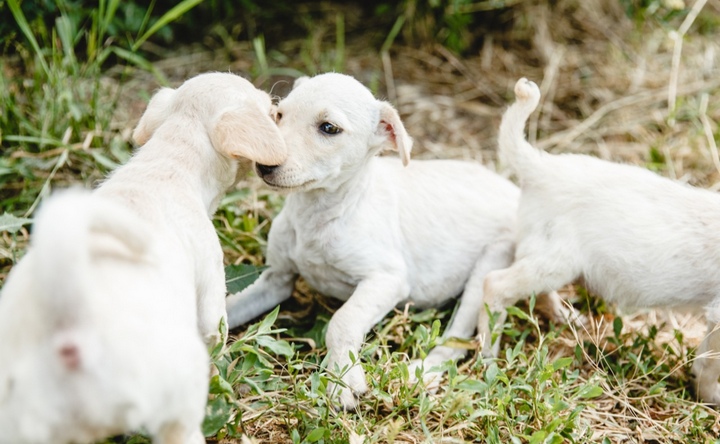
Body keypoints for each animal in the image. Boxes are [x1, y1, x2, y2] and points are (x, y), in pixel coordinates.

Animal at [225, 72, 540, 409]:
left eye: (328, 128)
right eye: (279, 115)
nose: (263, 165)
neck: (320, 214)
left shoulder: (388, 279)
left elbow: (343, 320)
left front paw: (342, 379)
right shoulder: (276, 279)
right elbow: (226, 307)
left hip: (488, 270)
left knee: (455, 341)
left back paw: (421, 372)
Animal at [479, 77, 720, 404]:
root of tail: (542, 166)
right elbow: (710, 365)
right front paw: (710, 396)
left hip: (546, 258)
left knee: (534, 290)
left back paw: (565, 316)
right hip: (556, 262)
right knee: (496, 285)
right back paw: (488, 355)